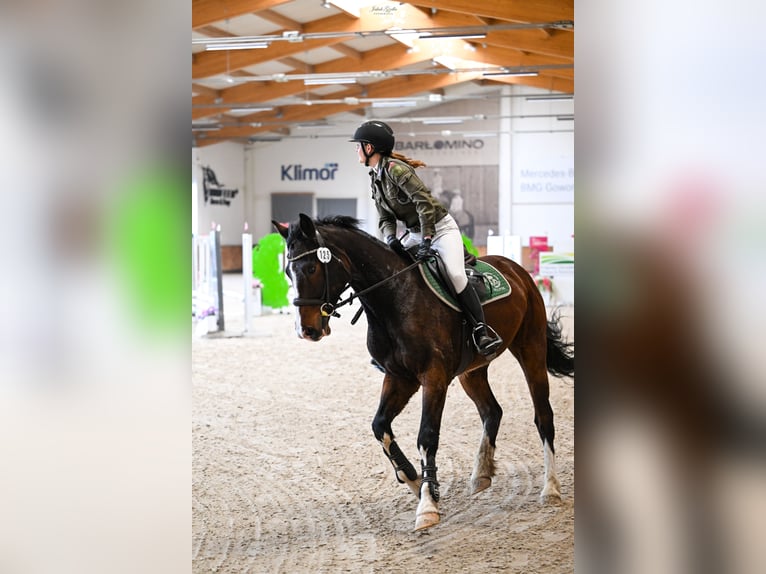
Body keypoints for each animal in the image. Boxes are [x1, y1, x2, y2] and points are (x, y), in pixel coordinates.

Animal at [273, 213, 574, 531]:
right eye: (288, 272)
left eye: (311, 268)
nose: (306, 330)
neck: (393, 298)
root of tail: (516, 269)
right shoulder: (399, 377)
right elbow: (380, 427)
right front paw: (416, 481)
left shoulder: (434, 377)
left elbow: (427, 436)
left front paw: (428, 505)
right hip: (472, 371)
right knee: (492, 411)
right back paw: (481, 474)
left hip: (531, 349)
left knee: (543, 417)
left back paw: (551, 489)